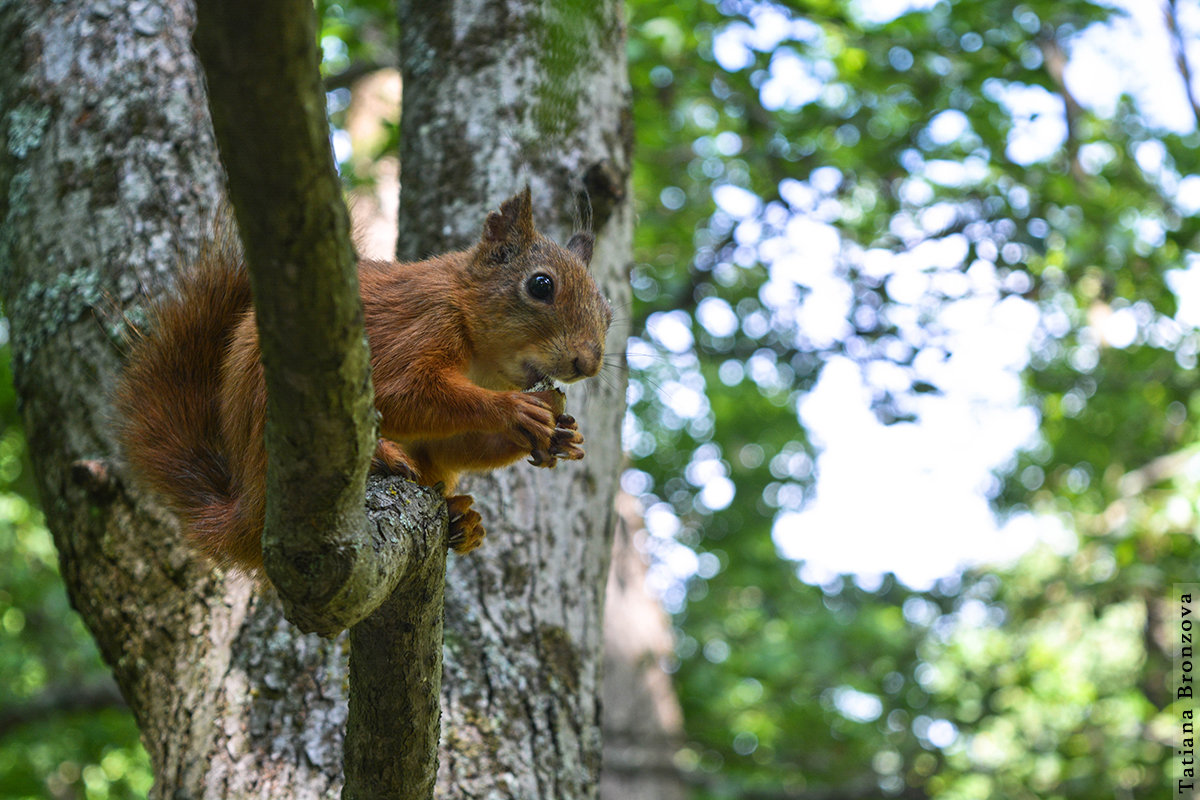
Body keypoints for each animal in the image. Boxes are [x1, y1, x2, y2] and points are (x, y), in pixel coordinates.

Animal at [114, 190, 609, 573]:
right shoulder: (421, 327)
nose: (587, 363)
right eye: (541, 285)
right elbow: (404, 395)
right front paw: (514, 411)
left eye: (607, 311)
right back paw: (383, 458)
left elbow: (451, 443)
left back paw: (460, 521)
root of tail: (247, 509)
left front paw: (560, 436)